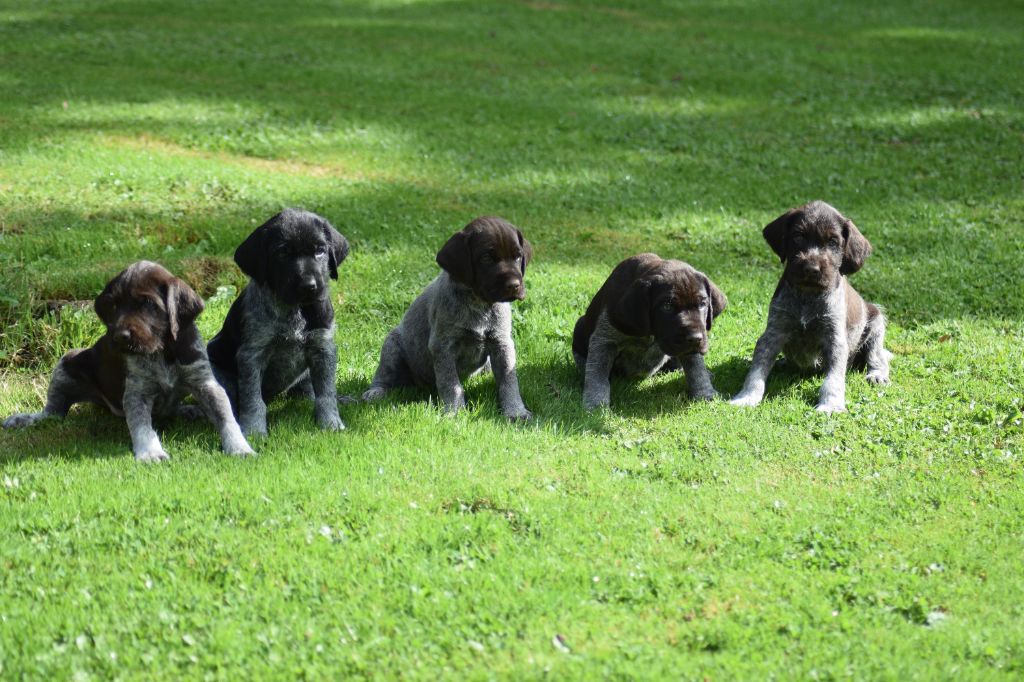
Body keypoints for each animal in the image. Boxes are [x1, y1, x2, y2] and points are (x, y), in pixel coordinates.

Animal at [1, 260, 252, 462]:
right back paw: (24, 419)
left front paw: (239, 446)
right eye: (114, 305)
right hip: (67, 362)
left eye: (148, 304)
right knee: (52, 412)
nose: (120, 336)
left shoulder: (205, 383)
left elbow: (226, 416)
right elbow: (142, 426)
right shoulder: (137, 393)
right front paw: (150, 452)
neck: (161, 351)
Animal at [207, 205, 352, 436]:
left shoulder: (322, 348)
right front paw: (254, 430)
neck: (295, 309)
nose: (309, 286)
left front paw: (330, 422)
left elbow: (326, 393)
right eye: (283, 253)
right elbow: (253, 399)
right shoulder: (252, 355)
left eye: (320, 250)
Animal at [362, 215, 536, 417]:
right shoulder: (443, 346)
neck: (478, 303)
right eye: (486, 258)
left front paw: (515, 411)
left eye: (517, 256)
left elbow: (509, 381)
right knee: (384, 375)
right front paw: (454, 411)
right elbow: (450, 383)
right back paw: (376, 392)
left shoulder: (501, 343)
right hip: (392, 346)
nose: (514, 285)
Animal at [569, 250, 729, 405]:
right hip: (579, 328)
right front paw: (596, 403)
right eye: (667, 306)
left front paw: (705, 393)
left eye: (702, 304)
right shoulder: (604, 340)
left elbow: (696, 368)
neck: (651, 333)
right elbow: (597, 375)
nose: (695, 339)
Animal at [733, 196, 892, 409]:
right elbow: (756, 372)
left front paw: (831, 403)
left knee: (877, 357)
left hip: (876, 321)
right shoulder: (773, 333)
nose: (811, 269)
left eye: (833, 242)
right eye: (798, 236)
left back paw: (877, 374)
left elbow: (833, 378)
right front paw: (747, 397)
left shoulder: (835, 339)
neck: (807, 296)